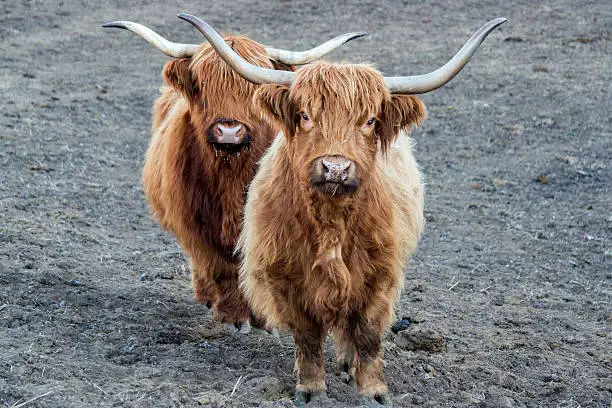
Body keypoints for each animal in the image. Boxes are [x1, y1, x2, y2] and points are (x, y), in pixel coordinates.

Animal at [103, 18, 366, 332]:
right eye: (202, 83)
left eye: (250, 88)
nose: (229, 131)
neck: (231, 171)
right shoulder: (197, 224)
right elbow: (220, 266)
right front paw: (233, 317)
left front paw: (264, 319)